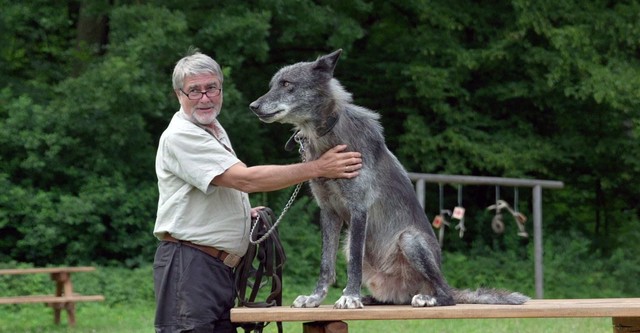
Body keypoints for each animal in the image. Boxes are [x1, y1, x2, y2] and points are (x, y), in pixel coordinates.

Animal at [248, 49, 528, 308]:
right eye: (273, 84)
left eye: (287, 84)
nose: (253, 106)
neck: (329, 135)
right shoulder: (329, 213)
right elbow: (326, 265)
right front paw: (316, 298)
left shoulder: (359, 210)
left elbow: (353, 264)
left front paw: (350, 297)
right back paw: (372, 299)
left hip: (409, 239)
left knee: (447, 295)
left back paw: (427, 298)